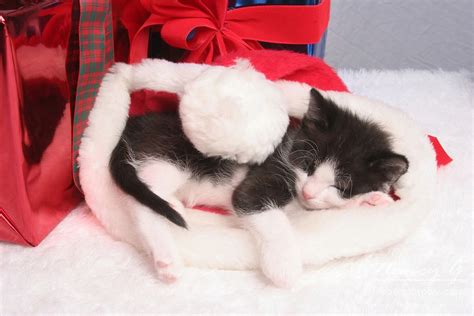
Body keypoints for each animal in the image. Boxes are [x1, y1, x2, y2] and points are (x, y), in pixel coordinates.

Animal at [108, 88, 408, 286]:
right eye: (309, 164)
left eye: (341, 186)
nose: (308, 191)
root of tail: (131, 125)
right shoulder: (262, 178)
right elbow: (266, 213)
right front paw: (284, 267)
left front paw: (372, 199)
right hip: (170, 155)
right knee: (140, 196)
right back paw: (167, 257)